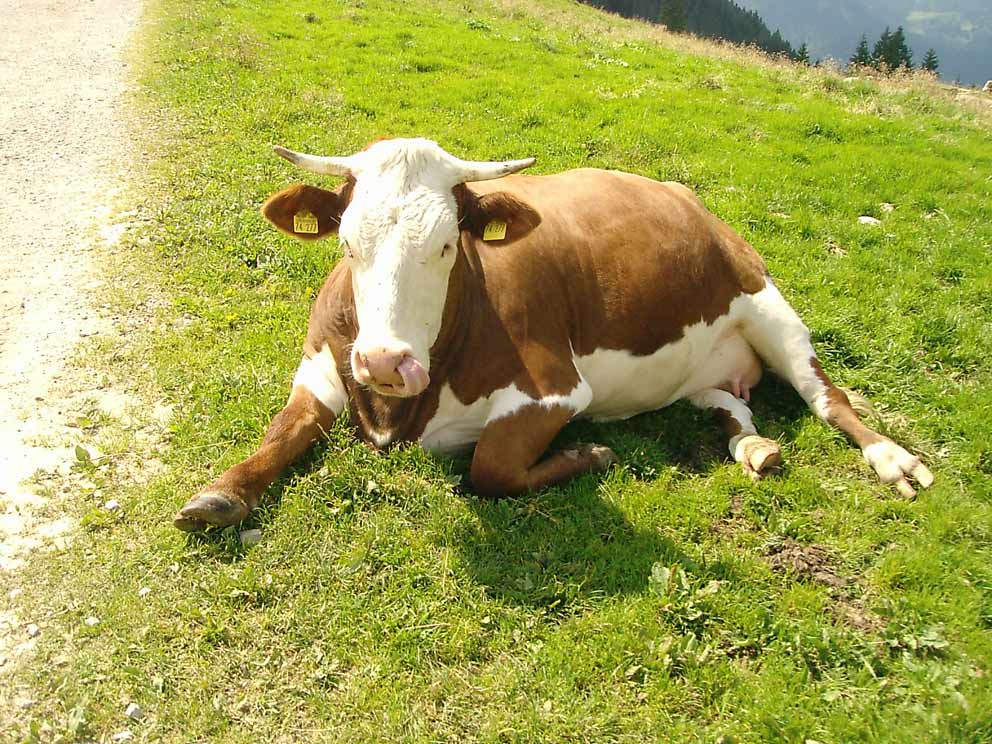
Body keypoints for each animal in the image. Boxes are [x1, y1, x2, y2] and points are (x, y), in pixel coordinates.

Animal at [169, 137, 928, 532]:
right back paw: (754, 446)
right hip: (706, 371)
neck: (395, 413)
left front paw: (589, 454)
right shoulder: (320, 370)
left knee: (827, 399)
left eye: (448, 245)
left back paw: (892, 458)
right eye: (348, 242)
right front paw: (220, 493)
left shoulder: (556, 390)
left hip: (770, 304)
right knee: (728, 400)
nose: (385, 362)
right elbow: (282, 434)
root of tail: (686, 198)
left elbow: (491, 467)